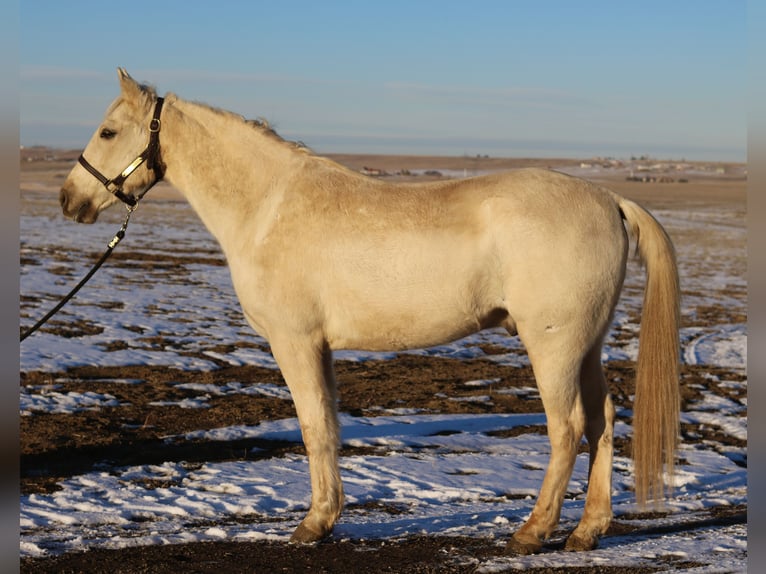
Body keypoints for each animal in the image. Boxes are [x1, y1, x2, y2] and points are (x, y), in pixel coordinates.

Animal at [61, 68, 684, 560]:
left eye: (109, 131)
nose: (70, 200)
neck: (267, 208)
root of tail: (610, 199)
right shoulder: (320, 348)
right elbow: (329, 427)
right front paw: (327, 517)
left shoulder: (295, 342)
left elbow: (313, 427)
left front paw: (313, 525)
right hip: (586, 346)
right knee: (602, 421)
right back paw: (588, 531)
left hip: (552, 345)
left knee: (568, 428)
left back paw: (533, 532)